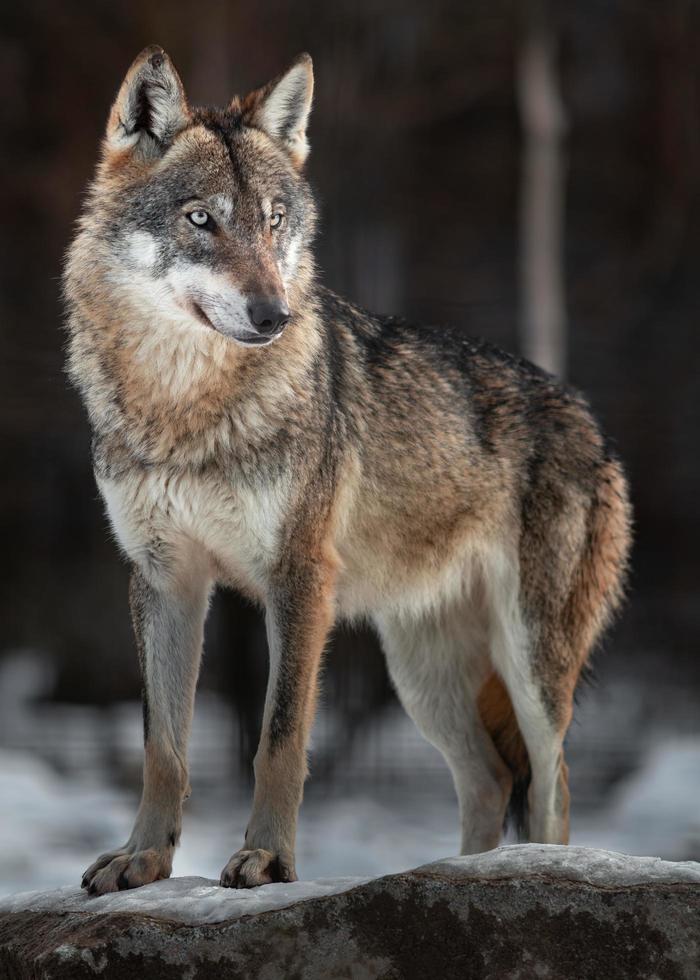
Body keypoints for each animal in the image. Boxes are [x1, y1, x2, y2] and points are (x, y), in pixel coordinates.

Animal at [64, 46, 636, 892]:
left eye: (273, 221)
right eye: (201, 219)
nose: (273, 316)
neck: (185, 408)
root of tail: (593, 421)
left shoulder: (299, 576)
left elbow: (278, 738)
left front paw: (268, 860)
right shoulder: (165, 580)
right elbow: (162, 747)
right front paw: (144, 860)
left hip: (530, 662)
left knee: (552, 781)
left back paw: (536, 868)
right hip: (421, 672)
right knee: (491, 780)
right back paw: (460, 878)